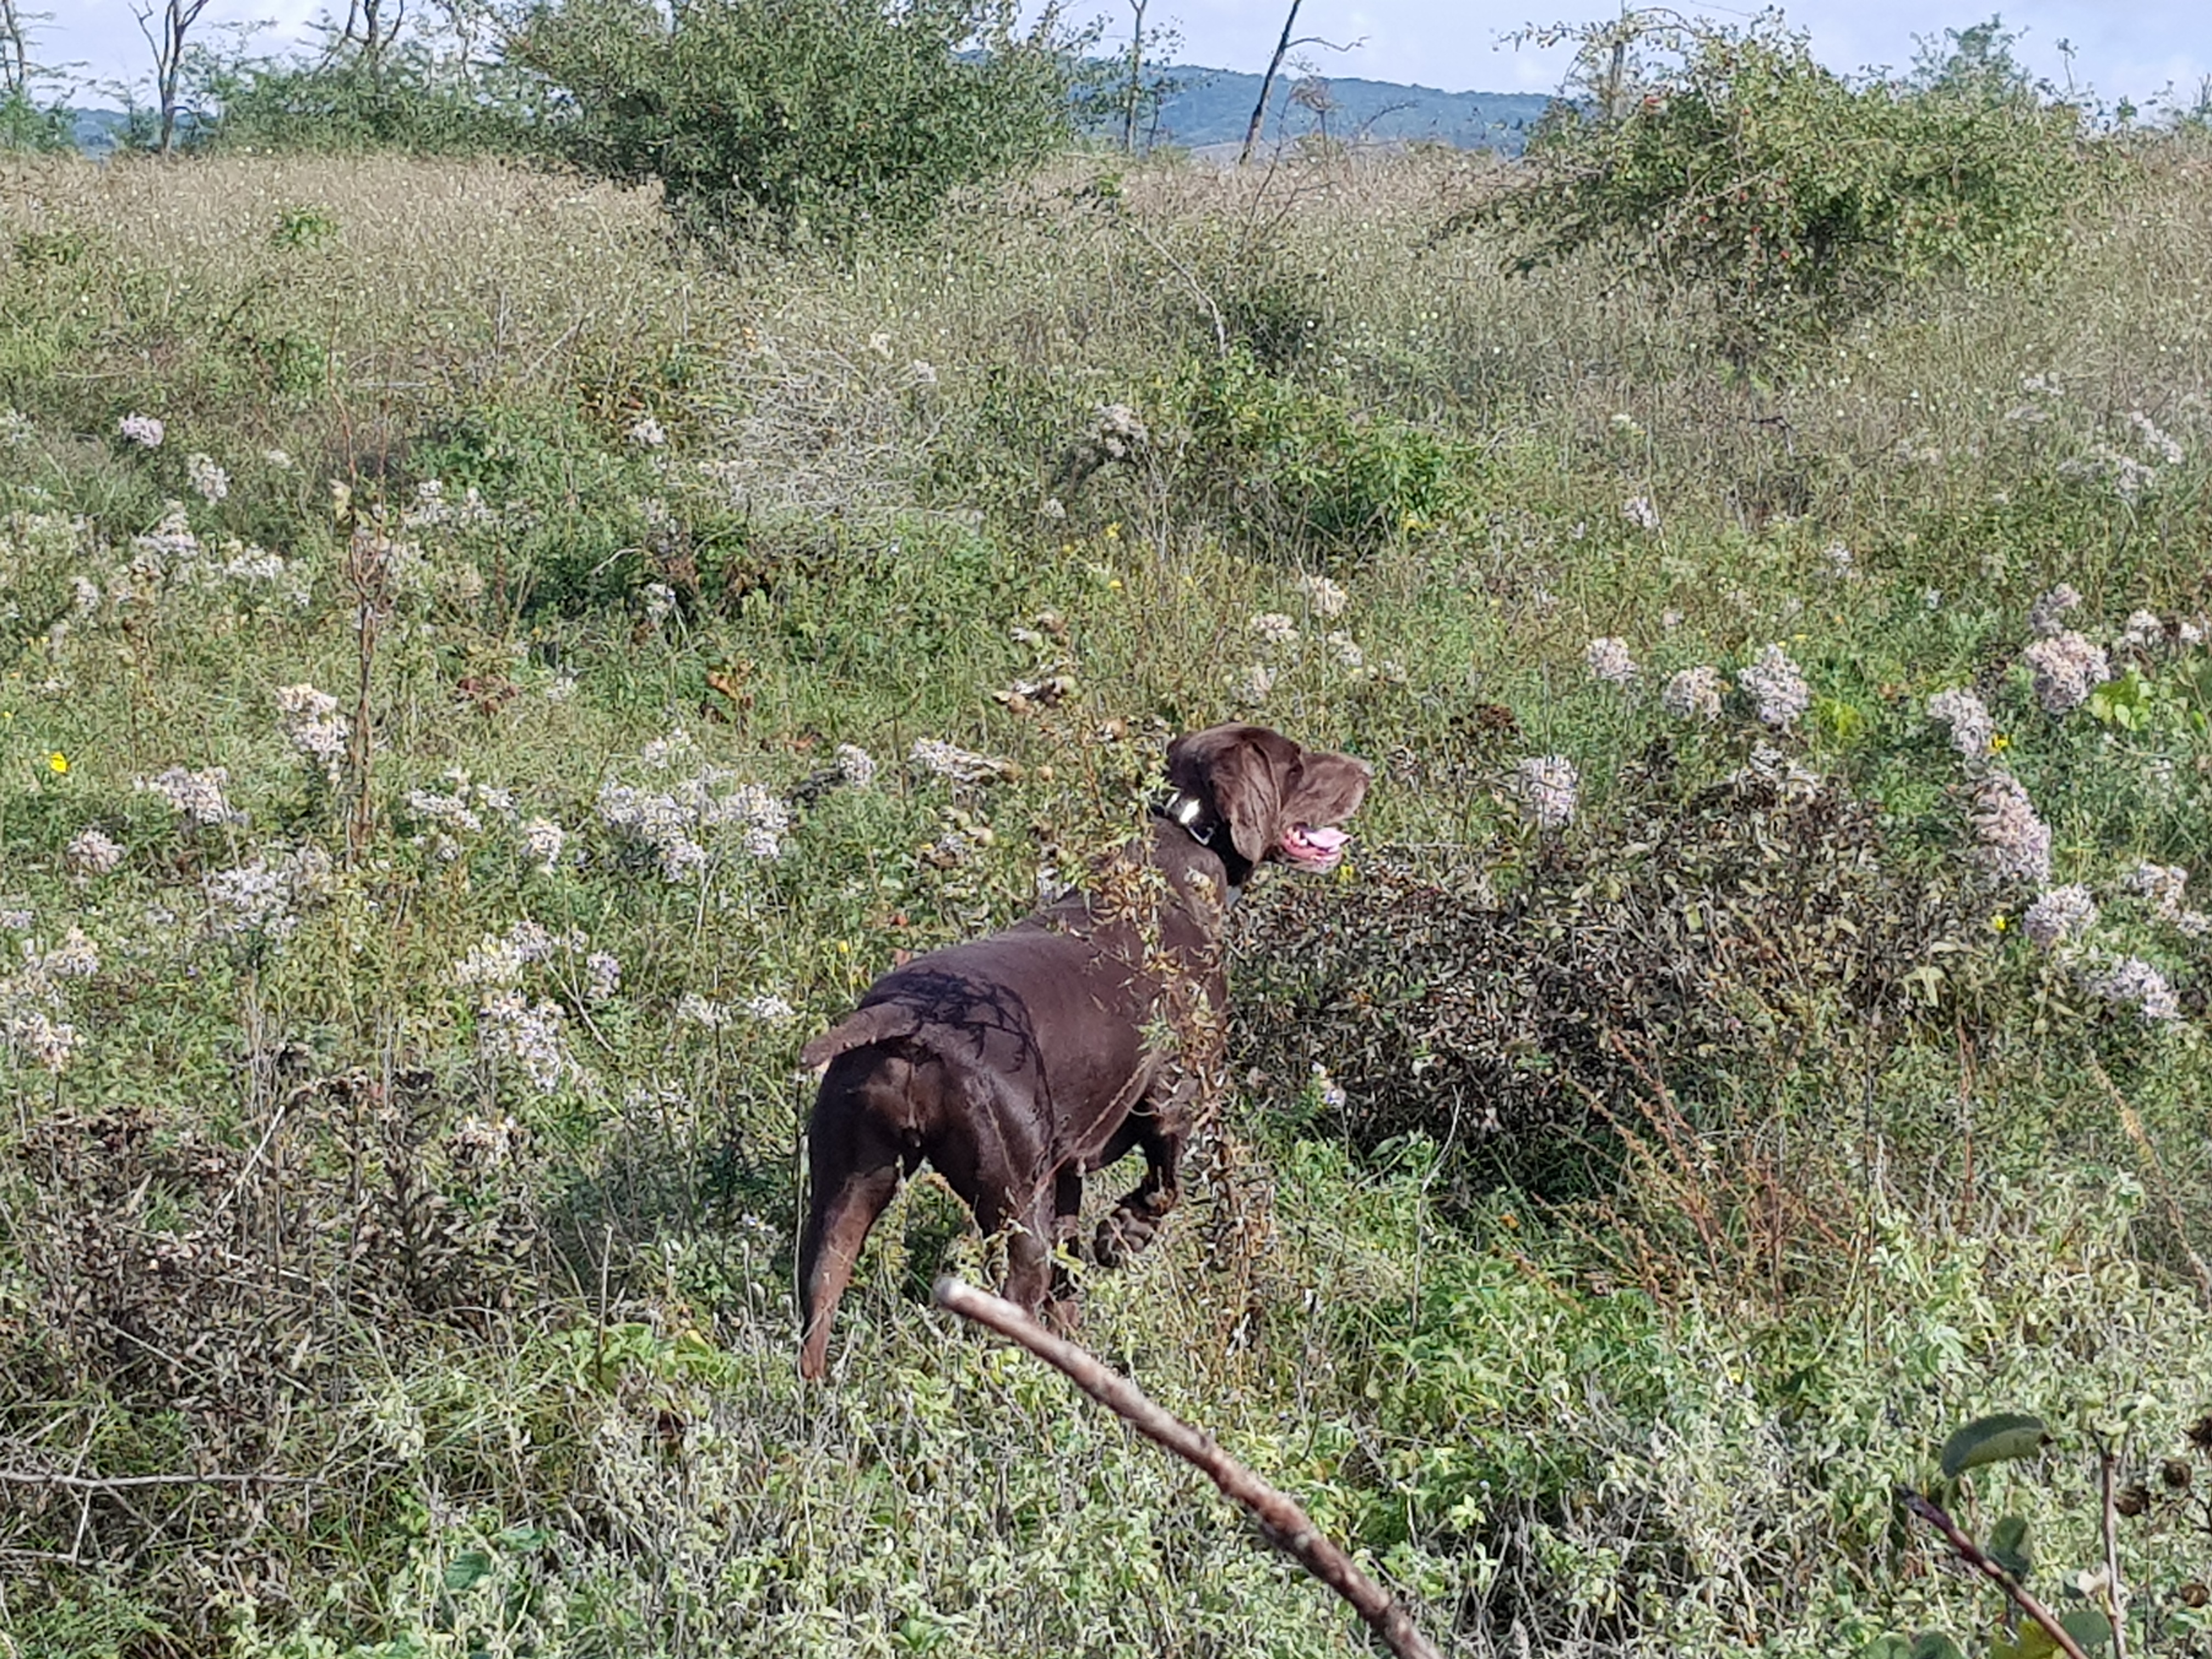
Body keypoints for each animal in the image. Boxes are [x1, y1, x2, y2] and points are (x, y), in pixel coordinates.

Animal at [795, 723, 1371, 1379]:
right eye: (1296, 763)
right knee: (1014, 1295)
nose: (1366, 771)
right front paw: (1123, 1235)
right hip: (1014, 1202)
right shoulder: (1175, 1096)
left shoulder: (1067, 1169)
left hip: (844, 1190)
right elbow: (1164, 1187)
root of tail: (908, 1020)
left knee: (820, 1293)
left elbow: (1069, 1284)